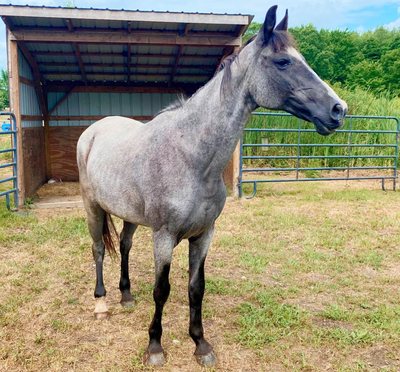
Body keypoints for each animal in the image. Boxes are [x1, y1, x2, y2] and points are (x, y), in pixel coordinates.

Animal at [77, 5, 346, 370]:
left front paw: (201, 344)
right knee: (98, 249)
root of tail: (93, 131)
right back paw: (102, 303)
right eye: (283, 62)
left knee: (125, 244)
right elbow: (162, 290)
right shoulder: (163, 237)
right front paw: (155, 347)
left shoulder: (204, 234)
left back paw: (127, 295)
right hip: (92, 206)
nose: (338, 110)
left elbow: (196, 288)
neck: (191, 156)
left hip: (130, 214)